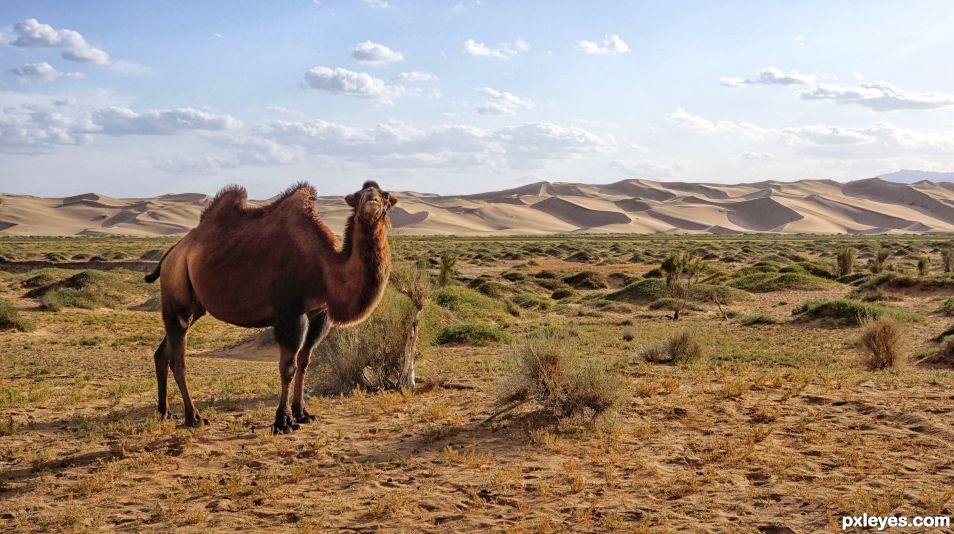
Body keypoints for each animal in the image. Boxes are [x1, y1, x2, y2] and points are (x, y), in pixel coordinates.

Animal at [143, 182, 396, 434]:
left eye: (385, 195)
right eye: (358, 195)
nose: (371, 200)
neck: (326, 267)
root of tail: (172, 253)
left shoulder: (319, 315)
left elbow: (304, 362)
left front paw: (302, 413)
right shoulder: (290, 314)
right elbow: (288, 367)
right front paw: (283, 421)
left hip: (195, 306)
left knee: (163, 352)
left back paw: (165, 412)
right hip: (178, 294)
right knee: (178, 359)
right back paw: (194, 417)